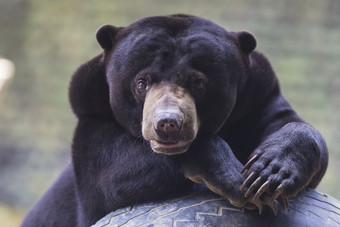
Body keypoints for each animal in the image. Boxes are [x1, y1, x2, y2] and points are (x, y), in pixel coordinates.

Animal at [20, 15, 326, 226]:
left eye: (198, 83)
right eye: (141, 83)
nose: (167, 123)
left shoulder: (257, 99)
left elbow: (293, 127)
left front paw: (267, 176)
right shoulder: (91, 111)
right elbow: (106, 176)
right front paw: (236, 181)